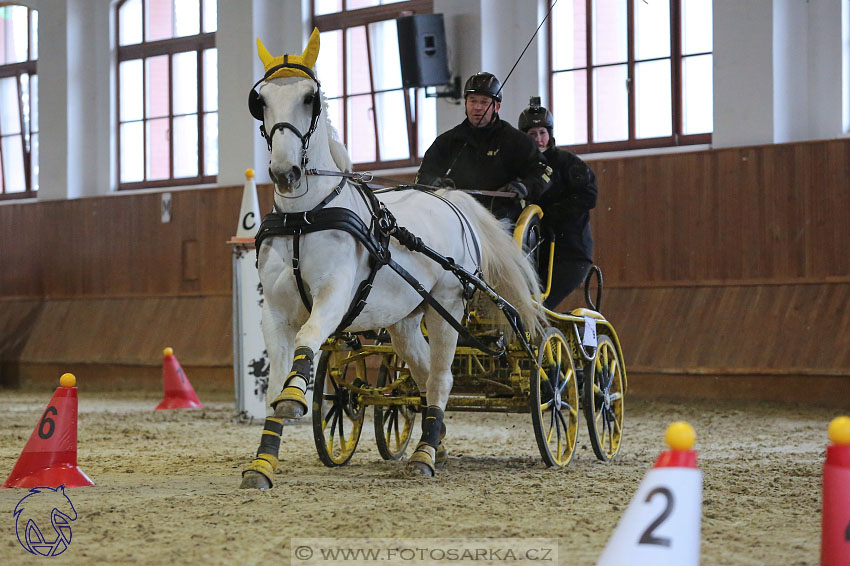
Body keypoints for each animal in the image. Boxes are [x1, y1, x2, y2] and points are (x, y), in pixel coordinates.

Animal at [242, 41, 540, 492]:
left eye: (310, 98)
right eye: (260, 102)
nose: (284, 172)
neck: (305, 217)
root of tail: (453, 199)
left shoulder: (333, 296)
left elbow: (309, 336)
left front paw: (294, 400)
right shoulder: (273, 311)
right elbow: (275, 381)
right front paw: (262, 463)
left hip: (448, 306)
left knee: (441, 378)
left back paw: (425, 456)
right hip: (404, 320)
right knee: (422, 374)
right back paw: (438, 441)